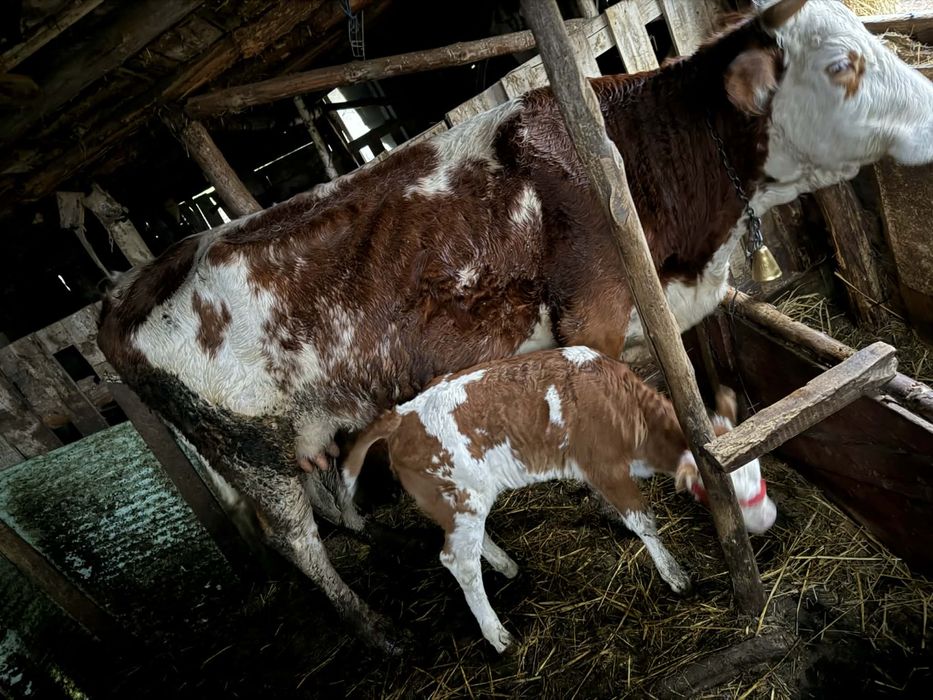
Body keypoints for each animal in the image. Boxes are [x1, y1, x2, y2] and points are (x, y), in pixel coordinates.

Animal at [340, 348, 770, 652]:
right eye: (719, 492)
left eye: (759, 469)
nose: (768, 519)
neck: (623, 408)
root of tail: (401, 414)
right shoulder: (605, 466)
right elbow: (643, 521)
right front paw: (675, 575)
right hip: (459, 497)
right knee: (457, 561)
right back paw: (497, 635)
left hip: (460, 503)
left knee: (467, 546)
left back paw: (506, 566)